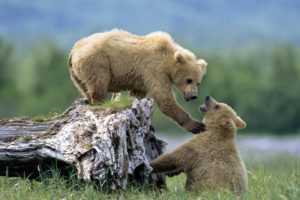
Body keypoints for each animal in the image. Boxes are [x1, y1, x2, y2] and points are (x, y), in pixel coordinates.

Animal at [69, 29, 207, 133]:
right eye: (188, 80)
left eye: (198, 82)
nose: (193, 96)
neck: (168, 62)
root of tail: (74, 50)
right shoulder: (154, 70)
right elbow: (164, 98)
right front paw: (196, 125)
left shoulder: (143, 77)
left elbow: (138, 94)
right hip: (96, 61)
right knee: (99, 83)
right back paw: (101, 102)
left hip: (76, 73)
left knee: (84, 87)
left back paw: (88, 100)